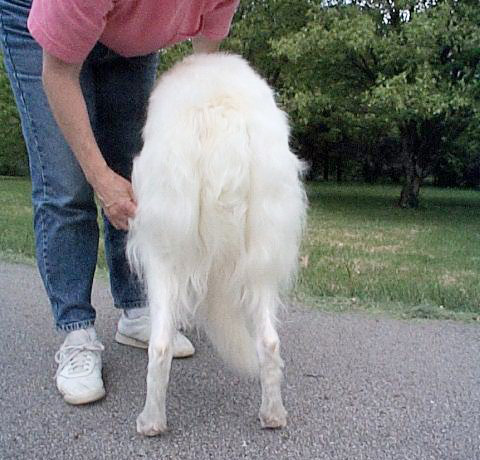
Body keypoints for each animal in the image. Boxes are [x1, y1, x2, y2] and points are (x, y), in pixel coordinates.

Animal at [127, 53, 306, 434]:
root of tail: (222, 113)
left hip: (163, 251)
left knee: (159, 347)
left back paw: (150, 422)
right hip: (264, 254)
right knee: (269, 342)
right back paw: (273, 415)